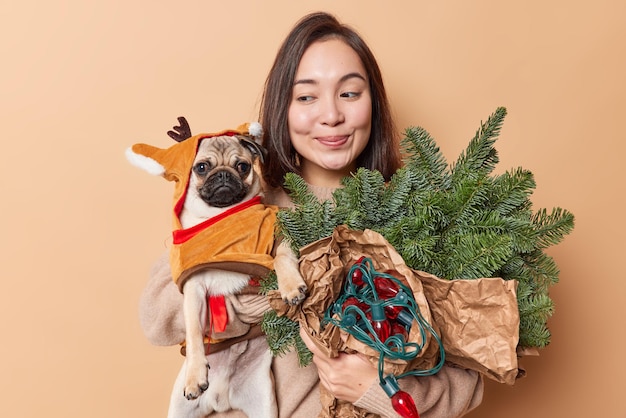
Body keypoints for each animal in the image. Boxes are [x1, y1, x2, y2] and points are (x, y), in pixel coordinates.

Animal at [125, 118, 306, 418]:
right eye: (201, 167)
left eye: (242, 166)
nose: (222, 175)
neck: (223, 215)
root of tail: (222, 399)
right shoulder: (194, 288)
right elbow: (195, 335)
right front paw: (196, 376)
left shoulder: (279, 237)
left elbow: (282, 259)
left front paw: (291, 288)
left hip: (264, 407)